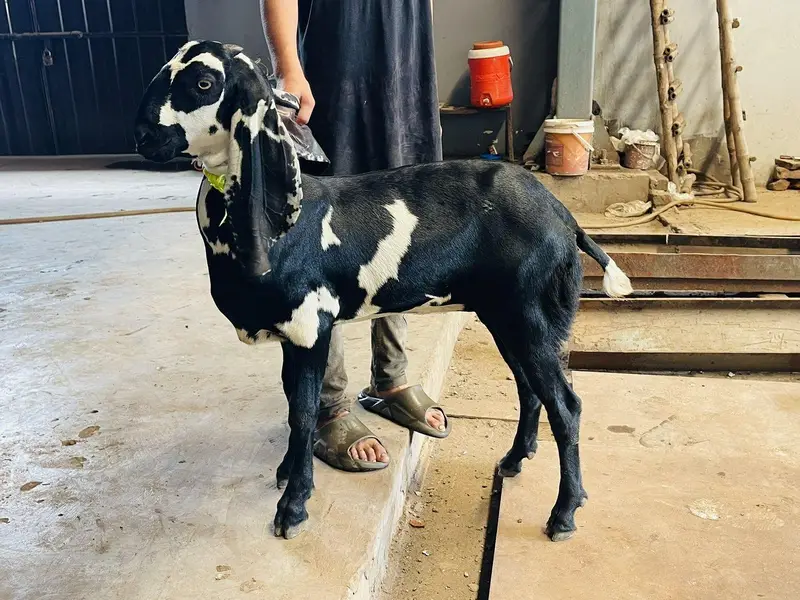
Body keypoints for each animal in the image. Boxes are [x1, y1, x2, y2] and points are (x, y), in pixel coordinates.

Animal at [134, 41, 633, 541]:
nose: (141, 136)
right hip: (506, 317)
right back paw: (513, 461)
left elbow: (302, 413)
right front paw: (287, 471)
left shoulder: (310, 328)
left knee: (566, 407)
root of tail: (563, 216)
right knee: (529, 389)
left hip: (532, 317)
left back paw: (564, 513)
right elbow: (293, 403)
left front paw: (293, 506)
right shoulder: (292, 336)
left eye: (204, 82)